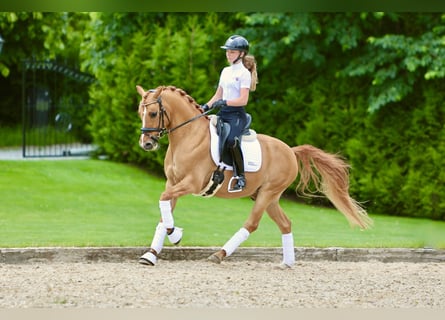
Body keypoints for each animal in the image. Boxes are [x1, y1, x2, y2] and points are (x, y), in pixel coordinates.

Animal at [135, 84, 372, 268]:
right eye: (140, 113)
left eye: (153, 113)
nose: (146, 144)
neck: (188, 137)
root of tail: (290, 150)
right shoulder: (173, 182)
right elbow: (164, 211)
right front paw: (151, 254)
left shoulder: (191, 183)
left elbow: (163, 201)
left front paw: (176, 235)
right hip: (269, 197)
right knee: (285, 223)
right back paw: (287, 263)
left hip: (268, 193)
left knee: (252, 223)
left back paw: (219, 255)